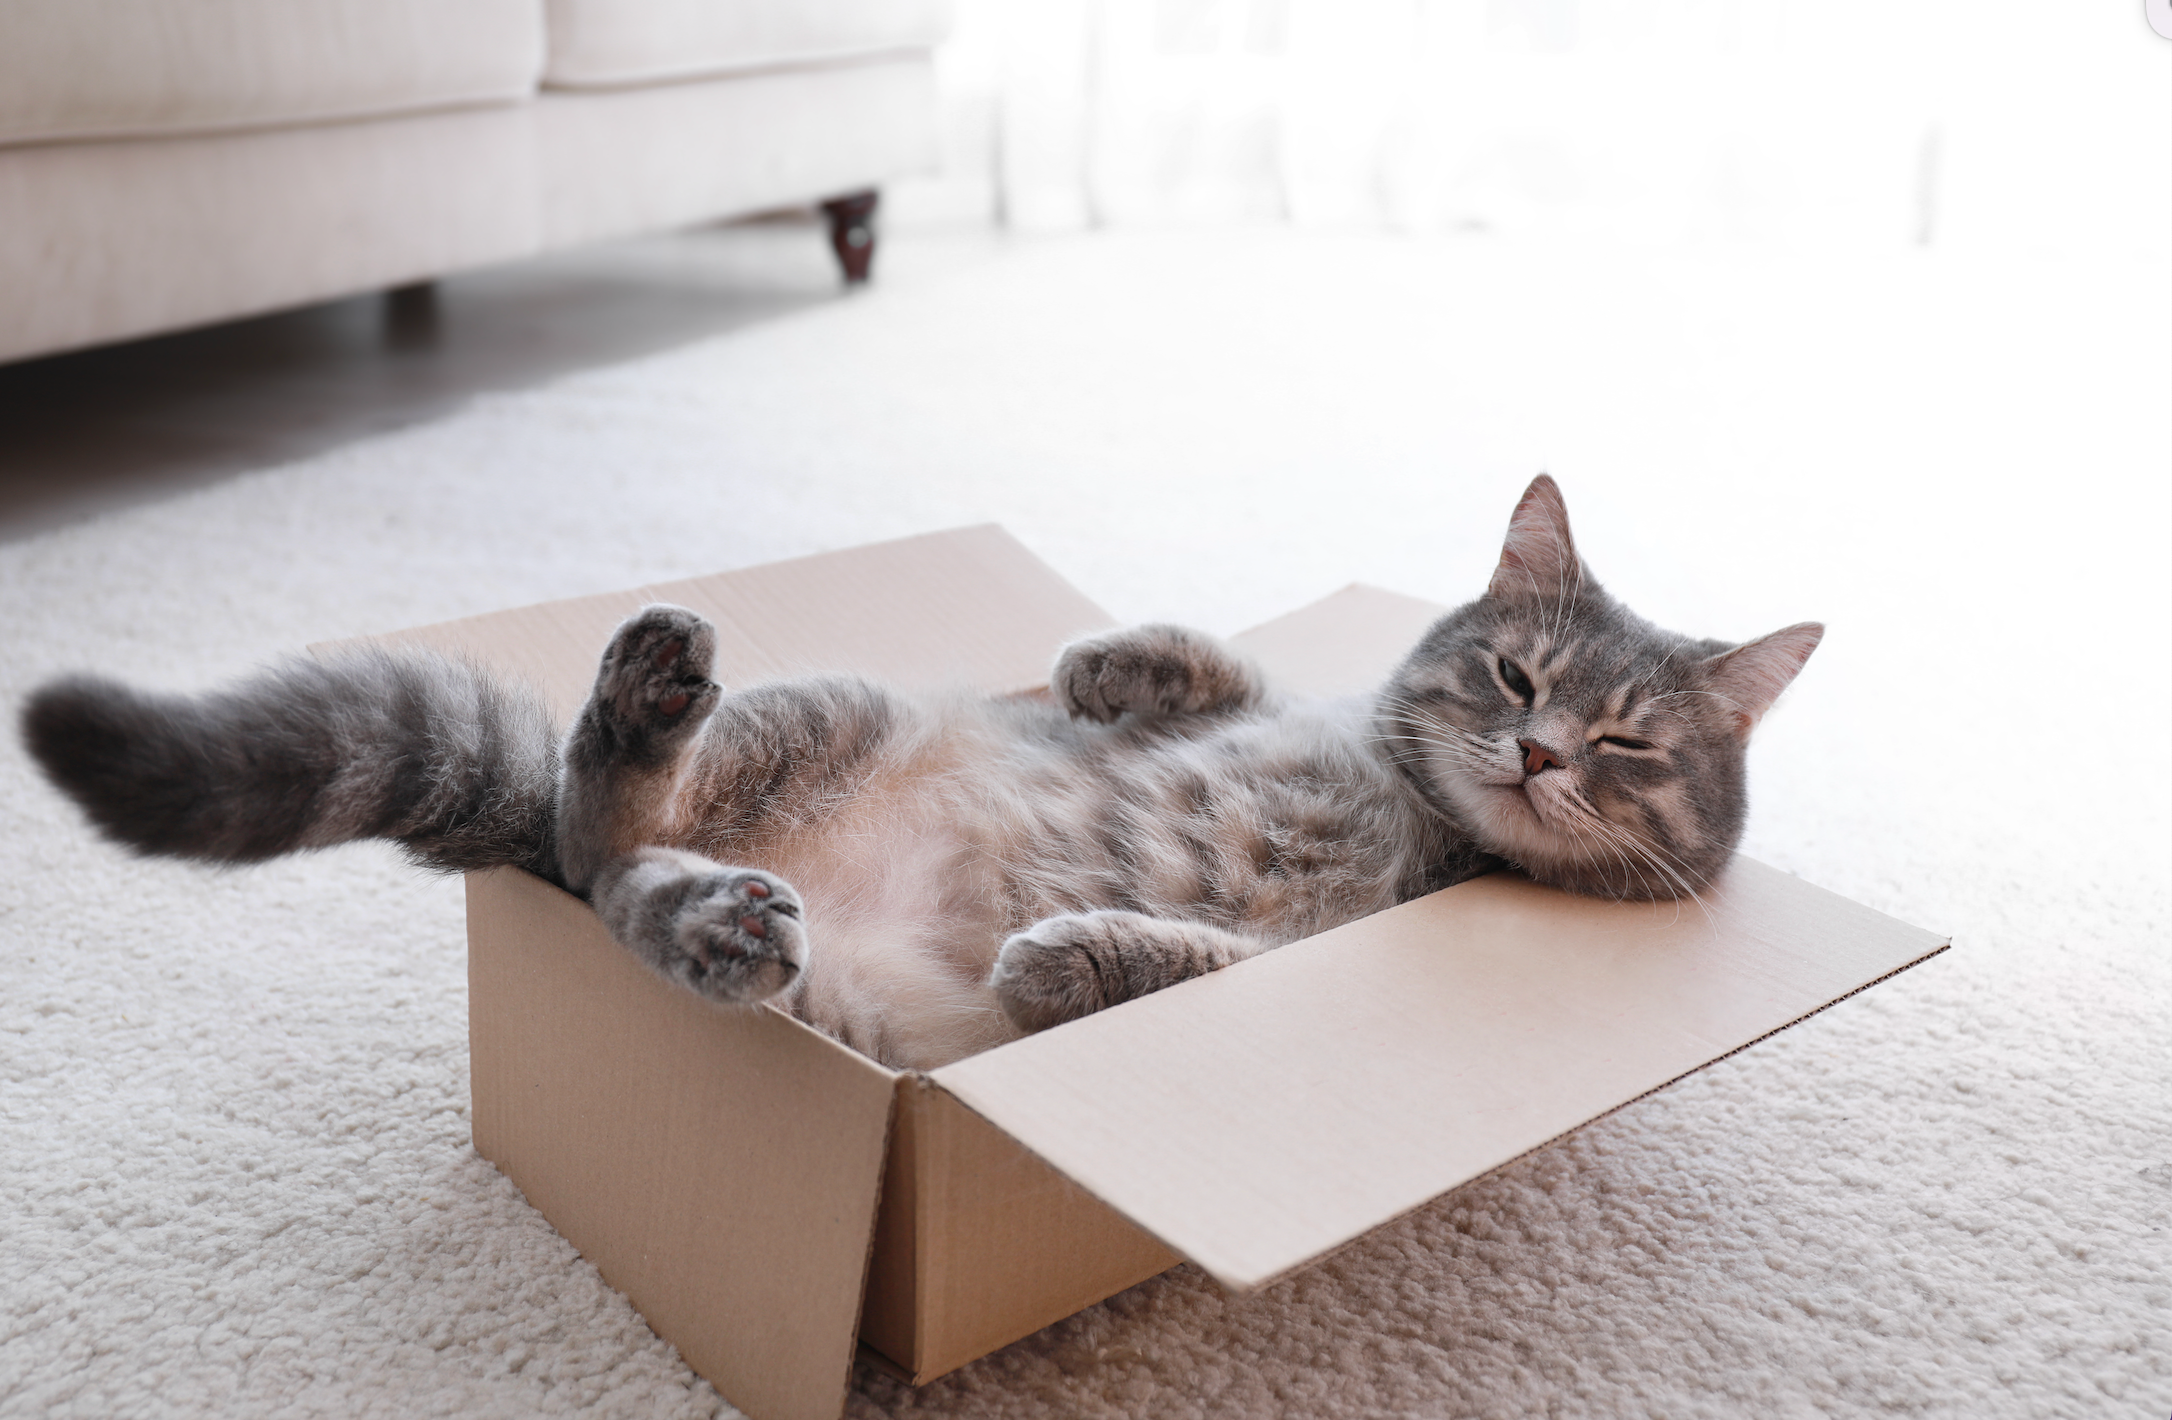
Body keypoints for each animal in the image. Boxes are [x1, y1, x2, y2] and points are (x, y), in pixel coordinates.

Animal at [21, 477, 1815, 1068]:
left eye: (1628, 743)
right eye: (1516, 676)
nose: (1537, 751)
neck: (1421, 809)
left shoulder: (1303, 951)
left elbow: (1171, 959)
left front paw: (1067, 951)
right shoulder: (1307, 707)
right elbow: (1226, 668)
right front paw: (1110, 659)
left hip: (844, 1008)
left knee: (609, 883)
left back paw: (720, 919)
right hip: (833, 705)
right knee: (596, 837)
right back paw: (648, 736)